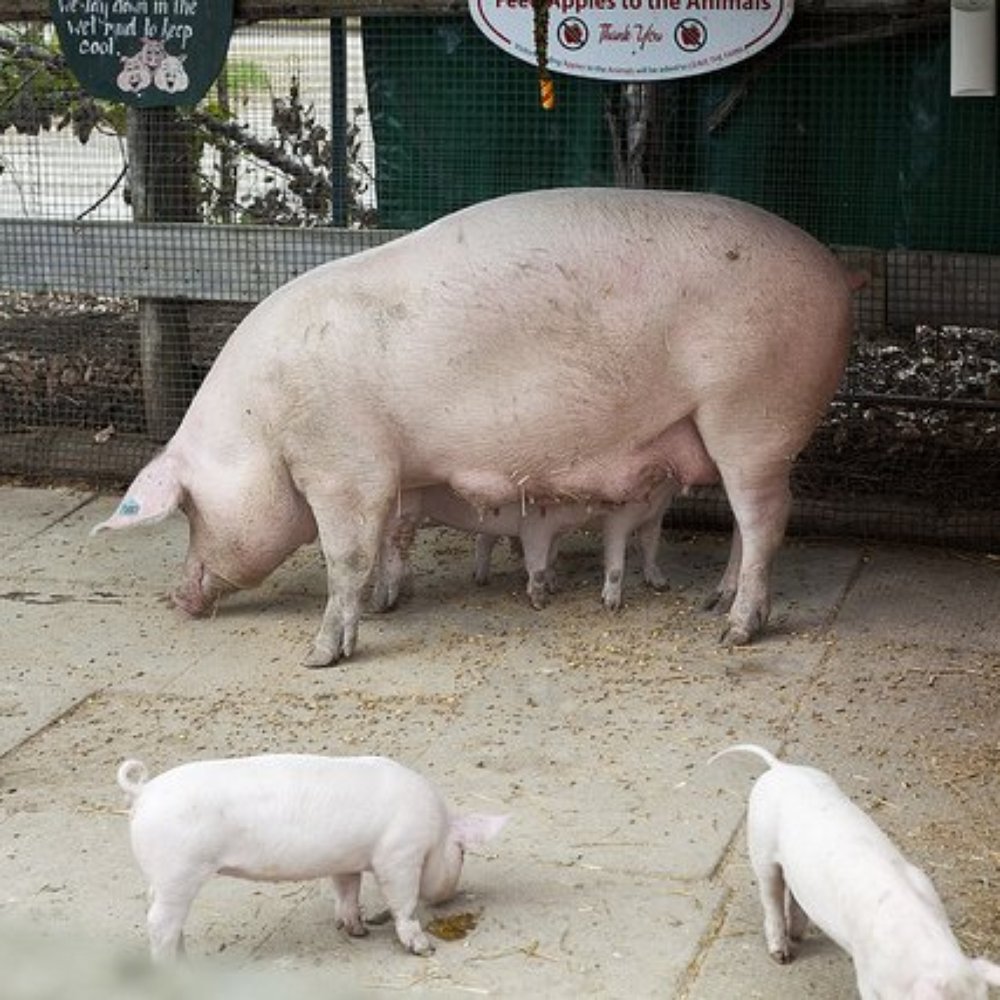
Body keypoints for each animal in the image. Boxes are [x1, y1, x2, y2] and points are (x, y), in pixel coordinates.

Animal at [116, 755, 508, 961]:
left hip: (161, 877)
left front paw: (357, 931)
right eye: (462, 852)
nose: (452, 896)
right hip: (178, 872)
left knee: (160, 915)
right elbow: (404, 903)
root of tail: (144, 790)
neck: (435, 830)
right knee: (158, 922)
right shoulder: (398, 856)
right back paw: (172, 967)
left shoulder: (347, 861)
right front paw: (424, 948)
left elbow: (347, 891)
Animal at [372, 479, 677, 612]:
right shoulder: (537, 526)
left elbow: (651, 548)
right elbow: (612, 564)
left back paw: (479, 579)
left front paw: (661, 585)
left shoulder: (656, 517)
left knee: (484, 538)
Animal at [711, 744, 1000, 1000]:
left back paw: (798, 935)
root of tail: (780, 768)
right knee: (770, 899)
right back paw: (782, 956)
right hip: (761, 849)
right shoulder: (867, 975)